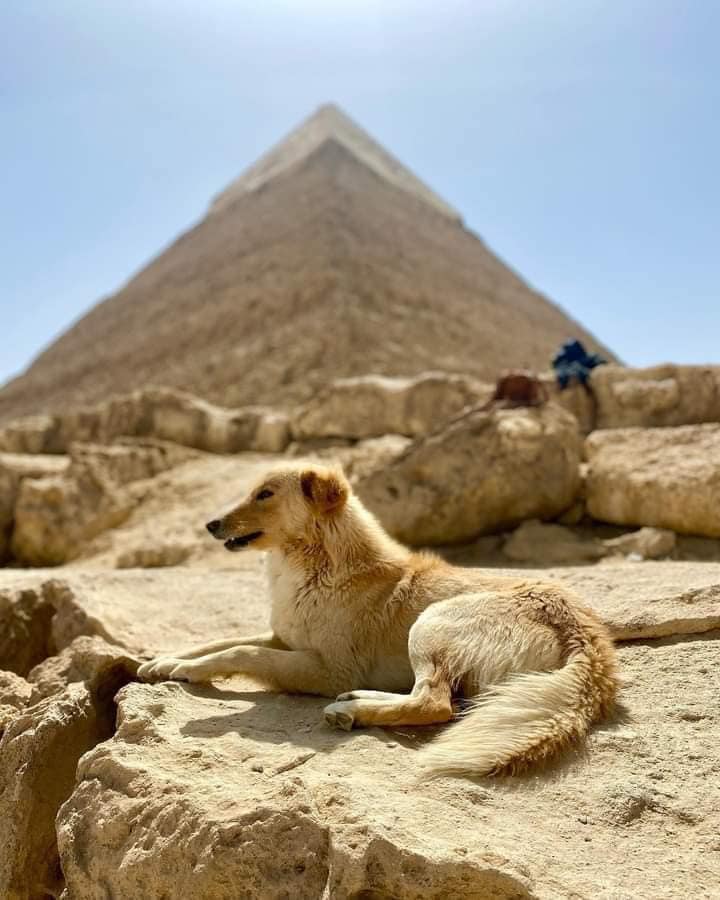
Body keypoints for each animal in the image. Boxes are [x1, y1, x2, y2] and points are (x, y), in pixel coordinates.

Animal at [141, 460, 620, 776]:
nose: (210, 524)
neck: (317, 563)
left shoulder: (329, 668)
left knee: (434, 704)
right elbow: (221, 641)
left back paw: (352, 711)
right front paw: (164, 661)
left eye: (265, 494)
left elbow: (242, 651)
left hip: (431, 623)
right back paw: (358, 701)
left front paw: (187, 669)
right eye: (252, 489)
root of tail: (590, 641)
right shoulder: (285, 637)